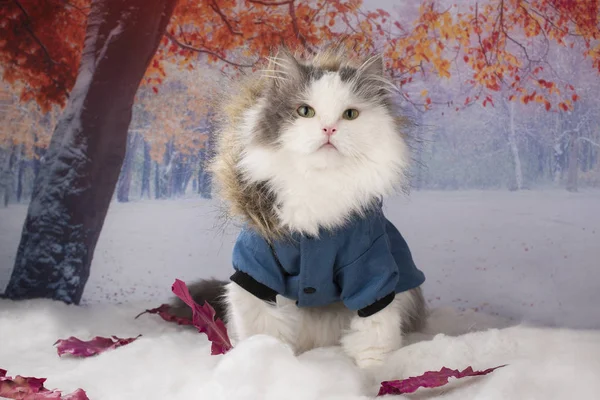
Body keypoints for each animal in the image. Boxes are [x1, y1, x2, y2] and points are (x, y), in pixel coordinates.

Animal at [171, 45, 426, 368]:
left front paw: (373, 373)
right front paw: (262, 361)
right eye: (305, 111)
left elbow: (374, 335)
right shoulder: (258, 268)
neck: (318, 187)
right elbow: (262, 331)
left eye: (350, 115)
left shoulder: (371, 270)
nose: (329, 129)